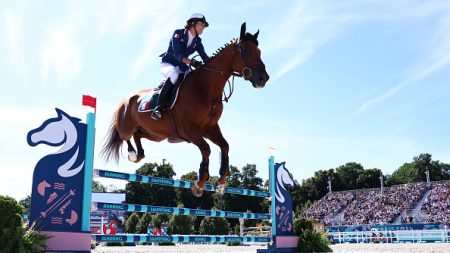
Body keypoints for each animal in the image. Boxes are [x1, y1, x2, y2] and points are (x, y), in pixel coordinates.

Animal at [100, 22, 268, 197]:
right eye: (245, 50)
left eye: (259, 51)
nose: (263, 78)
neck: (206, 89)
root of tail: (125, 100)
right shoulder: (189, 130)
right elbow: (206, 149)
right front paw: (200, 183)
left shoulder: (210, 128)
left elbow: (225, 146)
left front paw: (221, 182)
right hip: (127, 125)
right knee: (125, 135)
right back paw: (133, 154)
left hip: (156, 135)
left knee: (138, 135)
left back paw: (139, 154)